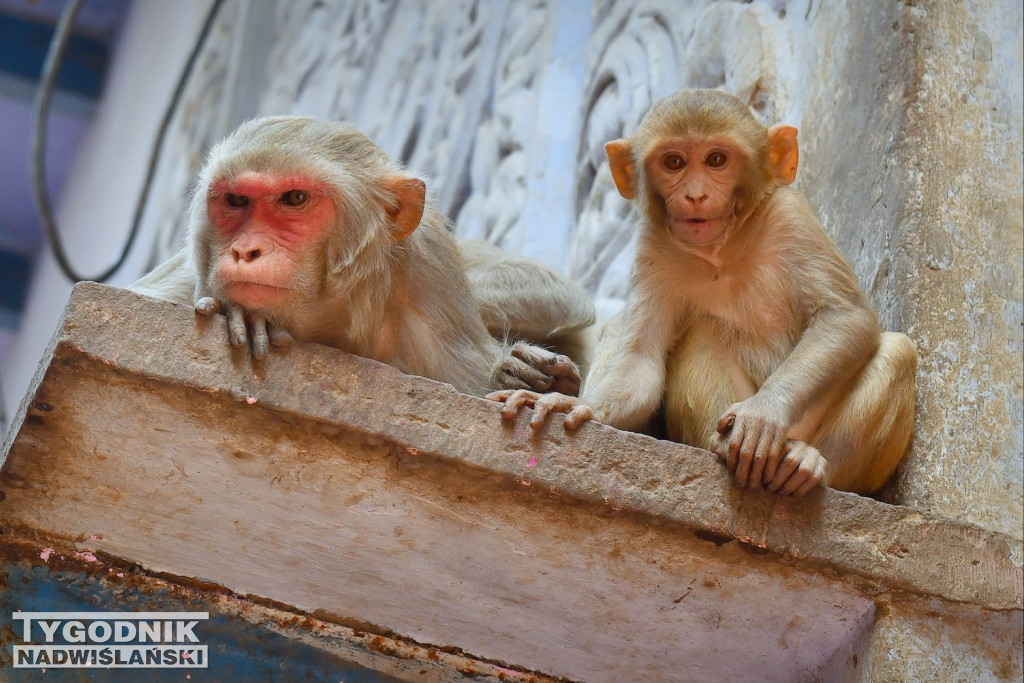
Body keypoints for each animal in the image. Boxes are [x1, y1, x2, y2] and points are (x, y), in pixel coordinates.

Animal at [491, 89, 917, 497]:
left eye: (716, 159)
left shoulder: (790, 216)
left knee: (898, 353)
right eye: (674, 163)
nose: (695, 195)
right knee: (702, 331)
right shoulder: (652, 246)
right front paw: (582, 406)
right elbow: (641, 361)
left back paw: (806, 464)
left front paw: (764, 413)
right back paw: (725, 445)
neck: (721, 248)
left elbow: (845, 316)